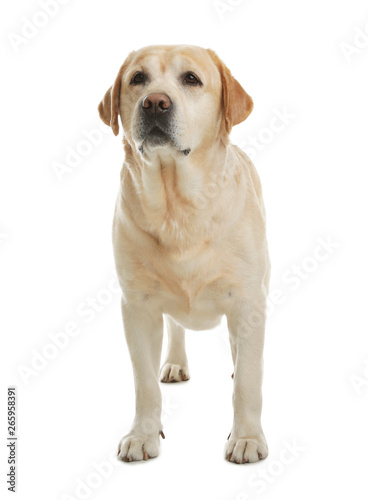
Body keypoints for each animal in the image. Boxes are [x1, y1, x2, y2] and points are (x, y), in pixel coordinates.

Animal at [98, 44, 270, 464]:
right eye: (138, 78)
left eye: (191, 79)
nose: (155, 103)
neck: (177, 206)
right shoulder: (137, 306)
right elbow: (144, 383)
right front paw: (143, 434)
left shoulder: (248, 299)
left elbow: (249, 381)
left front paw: (246, 437)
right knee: (176, 327)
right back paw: (175, 362)